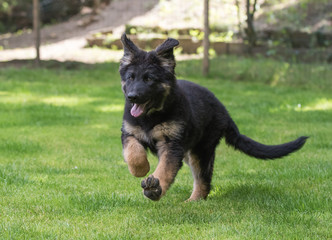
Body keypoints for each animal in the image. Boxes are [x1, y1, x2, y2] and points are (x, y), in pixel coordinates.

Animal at [118, 33, 308, 201]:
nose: (132, 97)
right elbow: (133, 153)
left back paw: (193, 201)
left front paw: (154, 188)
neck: (151, 116)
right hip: (191, 151)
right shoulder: (129, 133)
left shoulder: (172, 145)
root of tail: (224, 110)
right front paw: (141, 169)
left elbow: (165, 169)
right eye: (130, 77)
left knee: (203, 179)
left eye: (149, 79)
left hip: (201, 150)